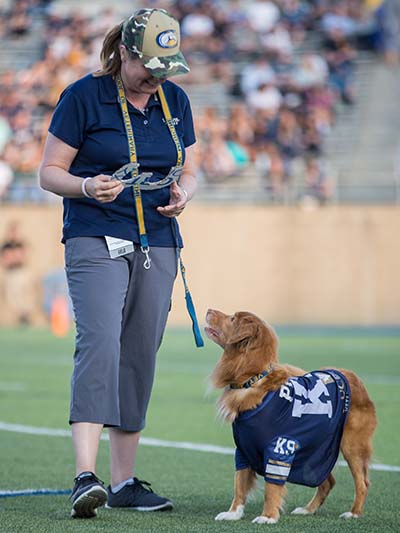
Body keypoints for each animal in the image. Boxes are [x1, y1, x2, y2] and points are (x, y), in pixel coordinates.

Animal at [205, 310, 376, 520]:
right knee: (328, 481)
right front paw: (233, 513)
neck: (252, 380)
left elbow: (271, 487)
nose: (209, 310)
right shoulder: (243, 449)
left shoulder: (279, 447)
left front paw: (268, 516)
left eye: (232, 319)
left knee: (362, 482)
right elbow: (240, 484)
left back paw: (354, 513)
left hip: (352, 445)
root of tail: (353, 377)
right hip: (318, 448)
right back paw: (308, 509)